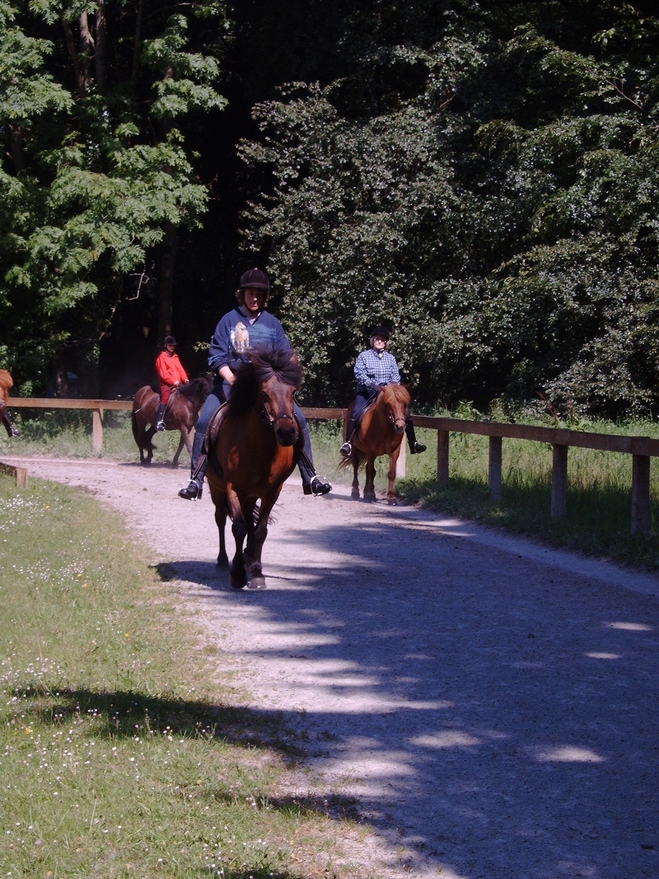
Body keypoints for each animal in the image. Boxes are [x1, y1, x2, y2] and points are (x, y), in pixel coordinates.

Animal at [206, 346, 304, 592]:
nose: (286, 433)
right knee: (220, 519)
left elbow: (259, 531)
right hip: (216, 488)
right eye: (265, 393)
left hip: (249, 495)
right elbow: (239, 527)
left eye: (292, 393)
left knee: (250, 519)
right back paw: (223, 561)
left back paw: (249, 555)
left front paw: (257, 573)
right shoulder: (231, 488)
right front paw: (238, 574)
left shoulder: (272, 491)